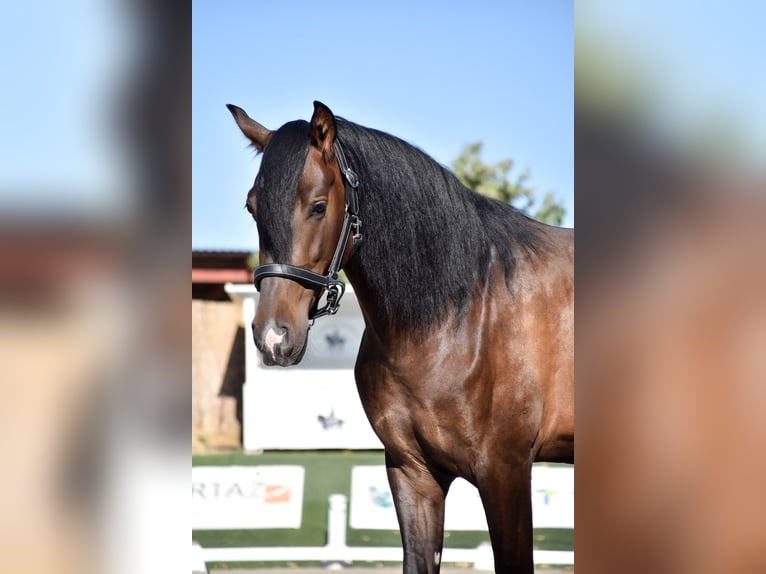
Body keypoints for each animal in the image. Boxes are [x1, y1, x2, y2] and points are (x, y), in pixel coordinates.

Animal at [228, 101, 576, 572]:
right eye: (252, 207)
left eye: (318, 206)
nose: (273, 337)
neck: (459, 315)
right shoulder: (413, 475)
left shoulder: (507, 473)